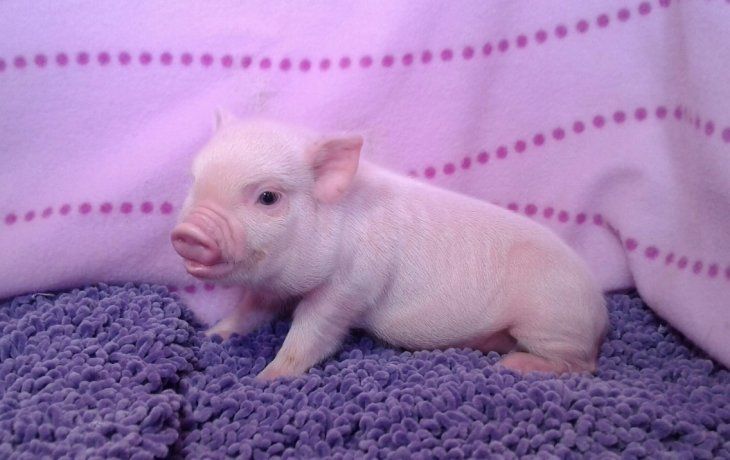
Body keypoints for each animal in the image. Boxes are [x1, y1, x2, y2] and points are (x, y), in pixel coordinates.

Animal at [171, 111, 608, 380]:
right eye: (193, 181)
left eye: (267, 197)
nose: (188, 232)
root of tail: (600, 309)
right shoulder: (273, 286)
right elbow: (249, 311)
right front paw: (213, 334)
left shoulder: (351, 287)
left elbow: (313, 331)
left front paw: (267, 377)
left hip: (551, 317)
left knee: (582, 364)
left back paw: (514, 365)